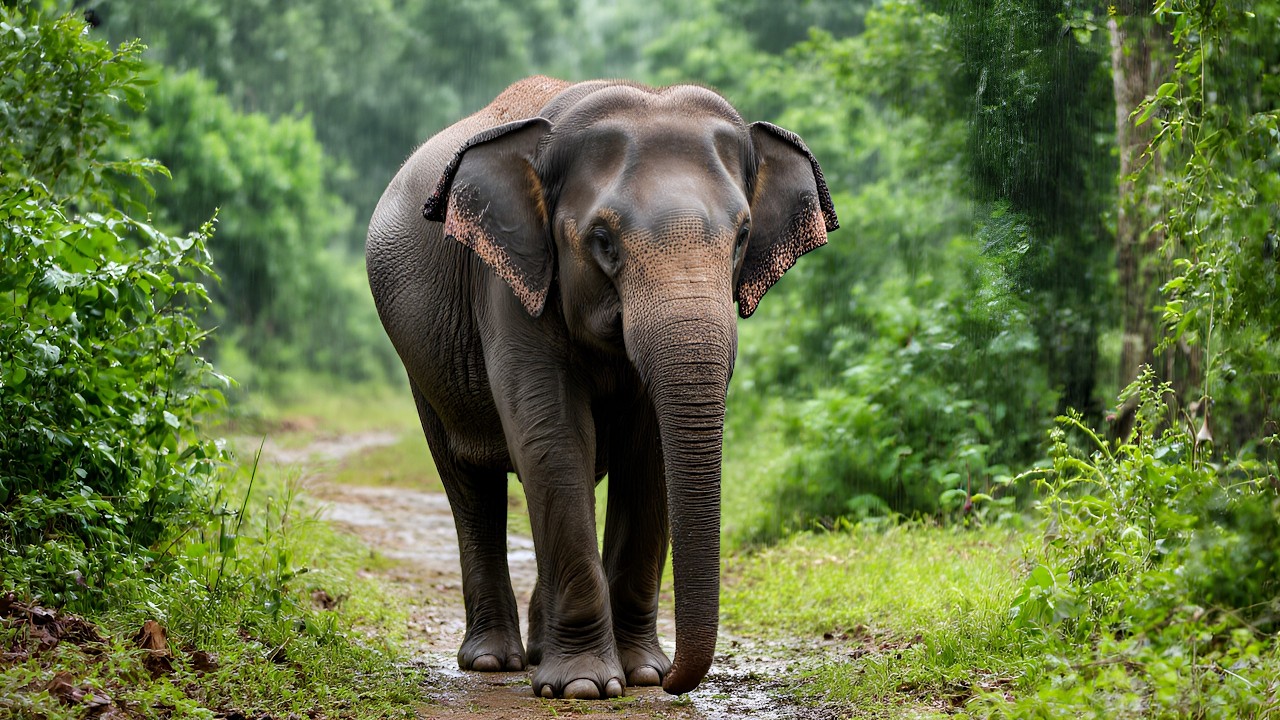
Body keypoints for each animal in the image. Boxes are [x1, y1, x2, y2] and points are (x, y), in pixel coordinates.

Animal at [365, 76, 837, 699]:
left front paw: (641, 673)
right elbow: (554, 437)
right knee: (469, 482)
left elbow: (647, 451)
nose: (676, 682)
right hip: (421, 365)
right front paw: (584, 687)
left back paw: (539, 652)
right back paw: (494, 661)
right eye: (603, 240)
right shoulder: (508, 280)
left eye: (741, 238)